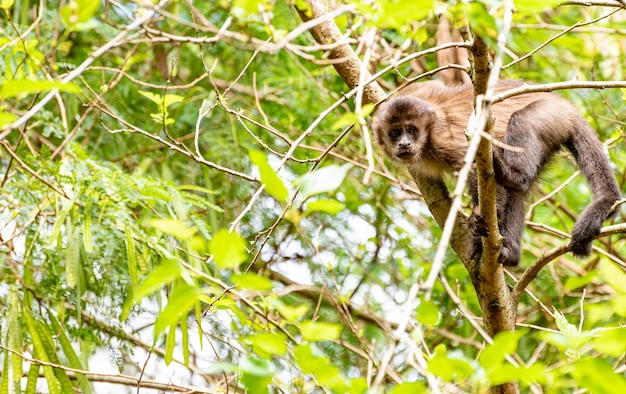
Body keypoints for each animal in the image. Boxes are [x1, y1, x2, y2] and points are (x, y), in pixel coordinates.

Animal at [370, 78, 620, 266]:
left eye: (412, 130)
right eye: (395, 132)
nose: (404, 144)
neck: (427, 141)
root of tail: (567, 108)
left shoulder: (443, 140)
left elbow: (475, 168)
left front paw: (481, 221)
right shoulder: (418, 94)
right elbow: (435, 84)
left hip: (550, 115)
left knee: (521, 124)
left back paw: (513, 174)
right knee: (517, 191)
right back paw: (512, 252)